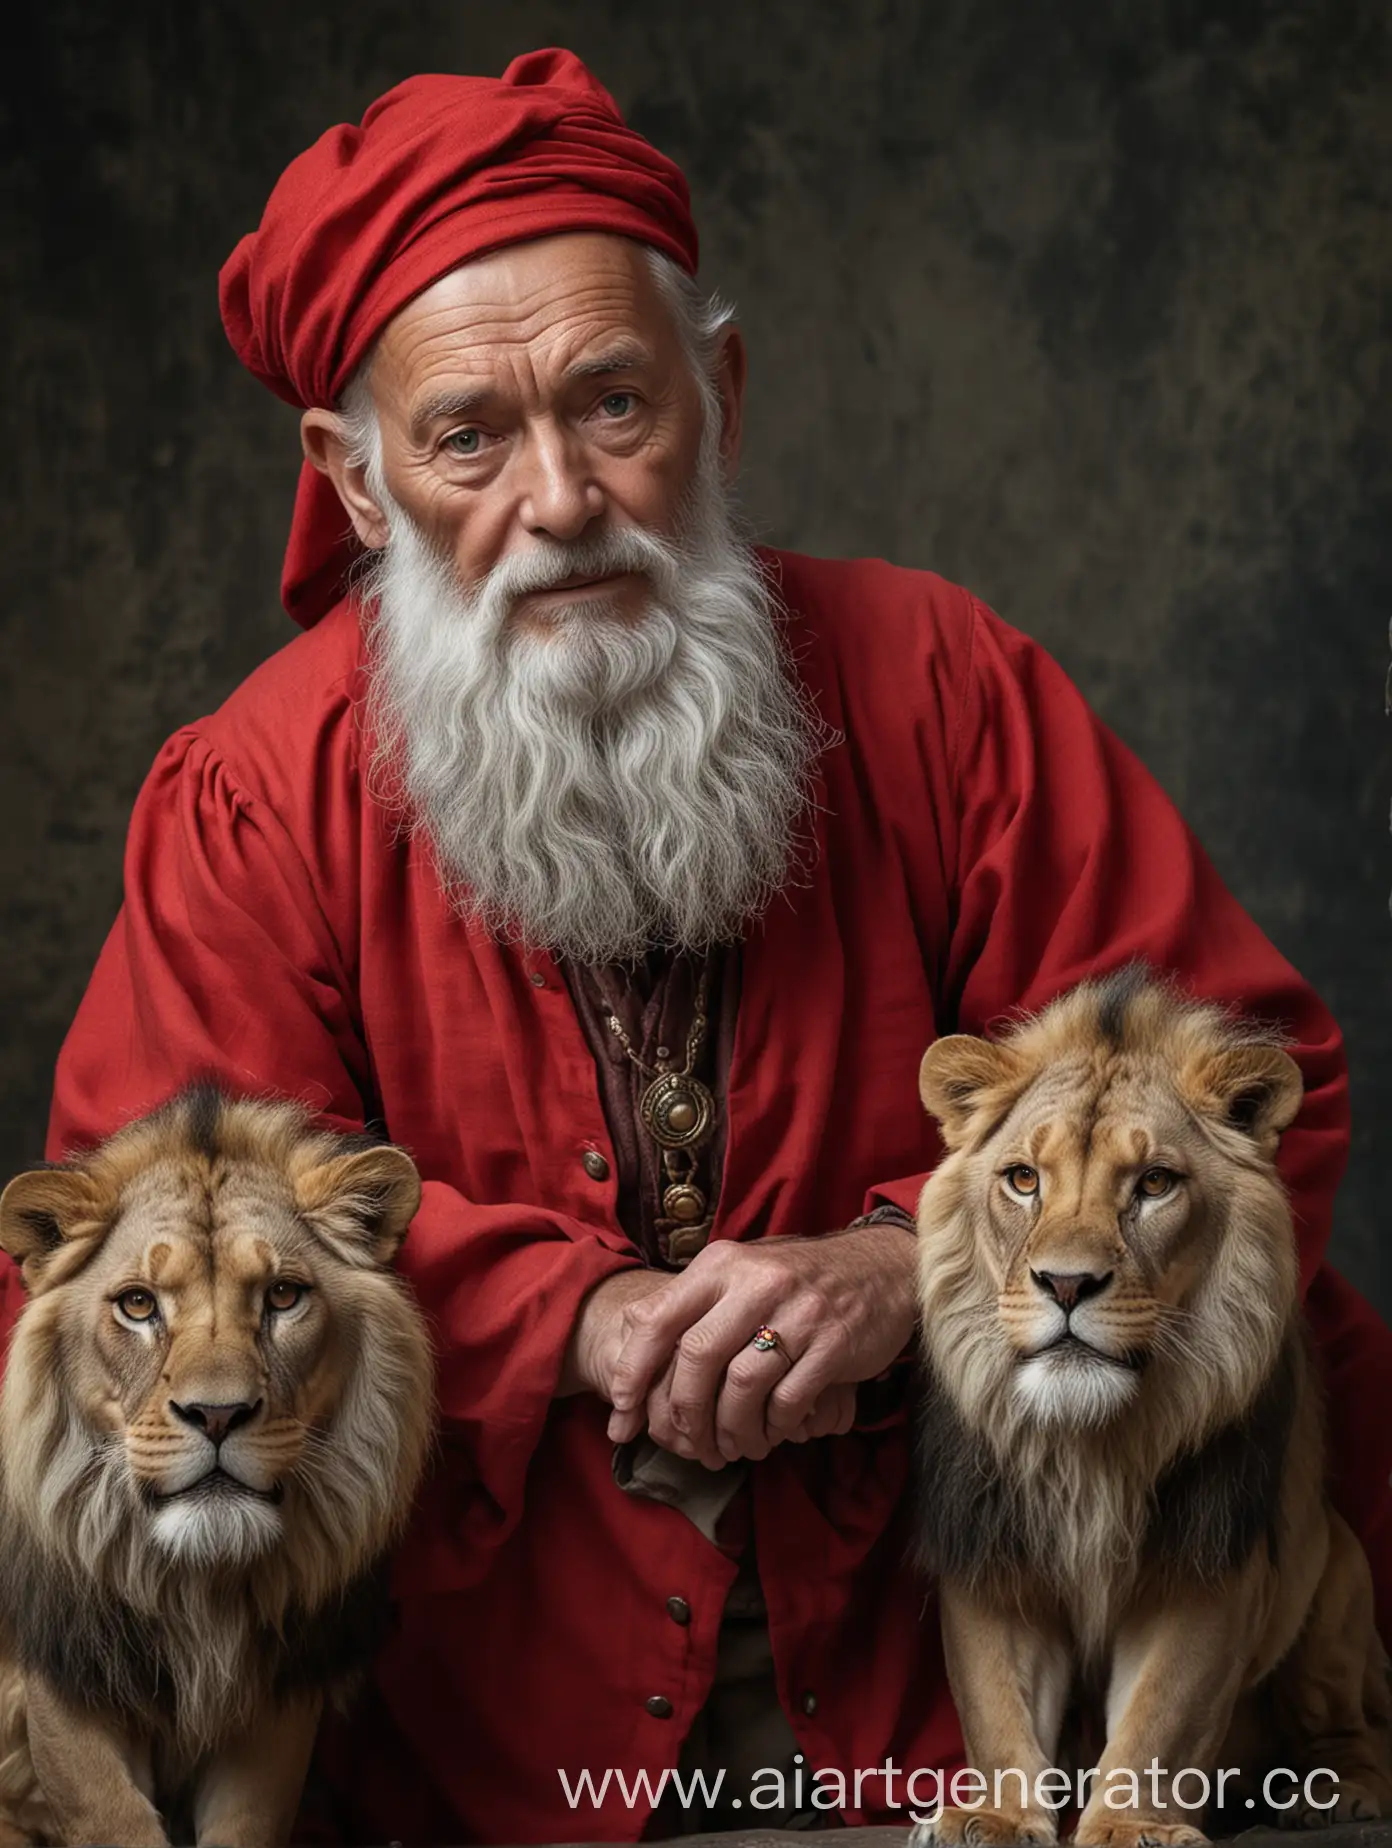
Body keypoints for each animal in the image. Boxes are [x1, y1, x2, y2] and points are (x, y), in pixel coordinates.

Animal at [0, 1079, 434, 1848]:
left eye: (283, 1295)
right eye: (138, 1304)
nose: (218, 1415)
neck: (198, 1592)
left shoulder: (275, 1707)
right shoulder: (65, 1684)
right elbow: (112, 1821)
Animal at [905, 968, 1382, 1848]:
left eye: (1154, 1183)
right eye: (1024, 1179)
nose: (1066, 1284)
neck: (1089, 1445)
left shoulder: (1207, 1566)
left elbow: (1163, 1716)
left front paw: (1130, 1828)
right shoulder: (994, 1557)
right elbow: (996, 1704)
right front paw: (996, 1816)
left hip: (1337, 1570)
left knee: (1360, 1723)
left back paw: (1335, 1793)